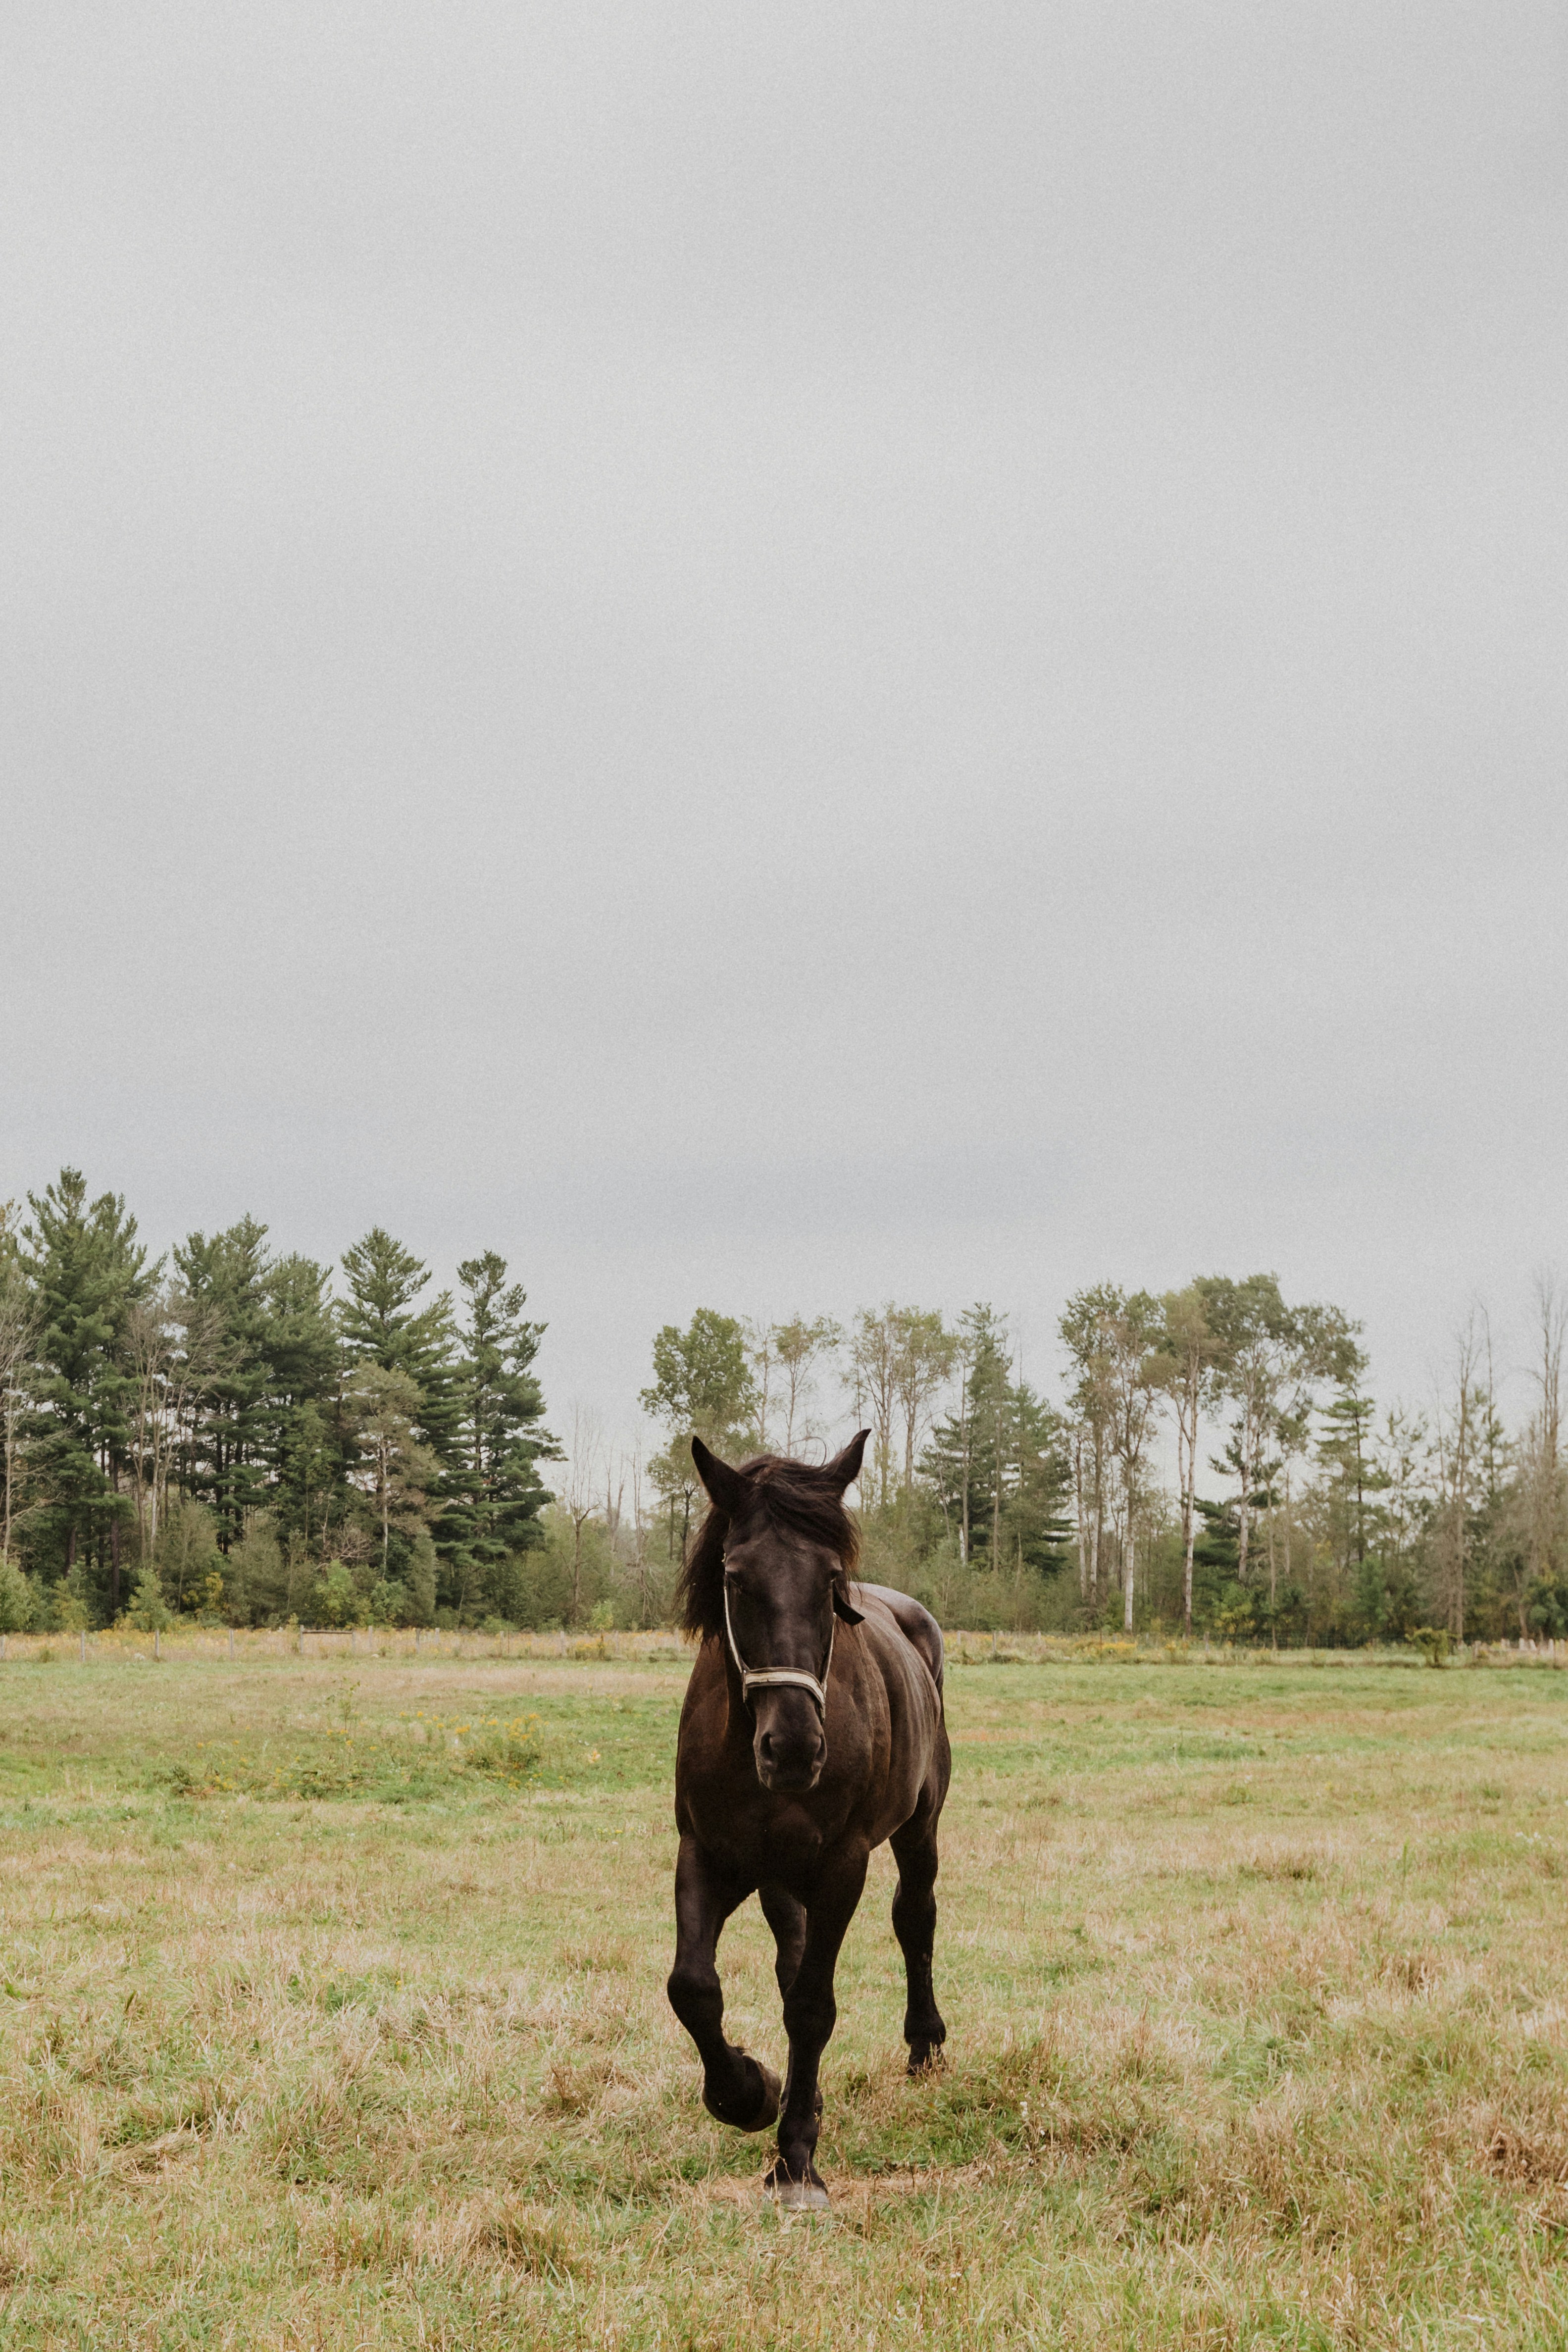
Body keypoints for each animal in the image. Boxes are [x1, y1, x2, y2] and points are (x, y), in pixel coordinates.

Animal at [665, 1429, 951, 2209]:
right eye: (735, 1578)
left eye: (828, 1581)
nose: (792, 1746)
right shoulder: (706, 1854)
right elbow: (693, 1987)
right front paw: (750, 2091)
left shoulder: (840, 1865)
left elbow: (813, 2007)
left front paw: (794, 2159)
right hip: (777, 1877)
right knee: (789, 1959)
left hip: (919, 1826)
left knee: (914, 1917)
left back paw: (924, 2045)